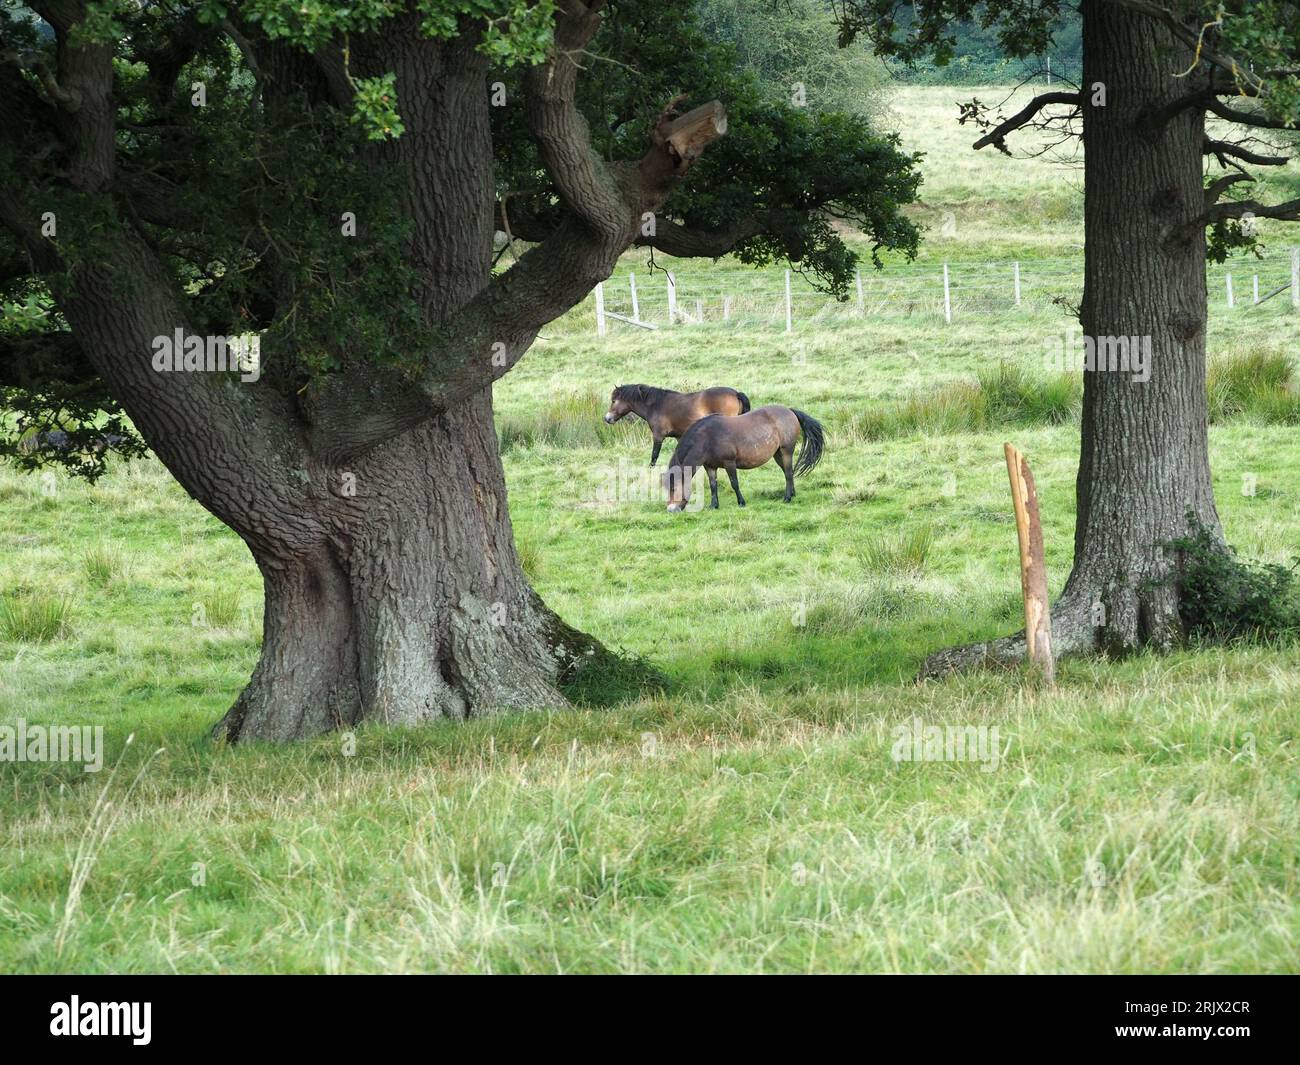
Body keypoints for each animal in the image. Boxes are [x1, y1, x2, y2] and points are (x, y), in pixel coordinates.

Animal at [600, 382, 748, 465]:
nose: (607, 418)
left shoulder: (658, 436)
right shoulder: (679, 436)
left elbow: (654, 456)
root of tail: (735, 393)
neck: (656, 405)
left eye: (613, 401)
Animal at [665, 403, 826, 512]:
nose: (671, 510)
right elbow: (713, 485)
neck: (707, 438)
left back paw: (787, 498)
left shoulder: (729, 462)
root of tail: (790, 411)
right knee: (790, 472)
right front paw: (714, 505)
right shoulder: (710, 466)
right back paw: (793, 494)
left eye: (674, 488)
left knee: (787, 473)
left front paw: (741, 502)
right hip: (778, 454)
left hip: (786, 451)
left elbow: (734, 483)